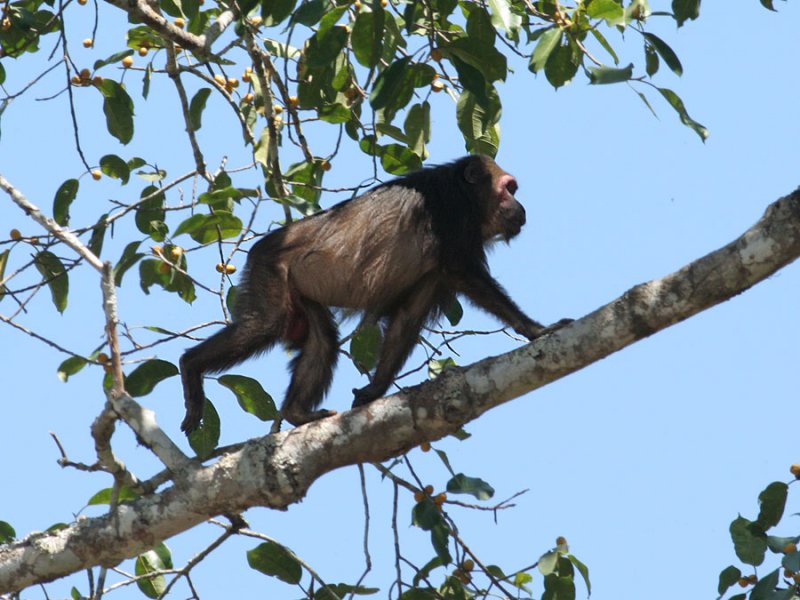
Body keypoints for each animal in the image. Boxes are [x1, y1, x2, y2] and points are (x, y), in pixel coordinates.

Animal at [180, 155, 568, 434]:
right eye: (509, 189)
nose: (520, 207)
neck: (466, 195)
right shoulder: (452, 219)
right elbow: (469, 276)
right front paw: (535, 330)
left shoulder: (432, 274)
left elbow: (406, 320)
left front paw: (374, 390)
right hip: (269, 269)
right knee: (263, 325)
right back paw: (191, 365)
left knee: (323, 340)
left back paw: (297, 413)